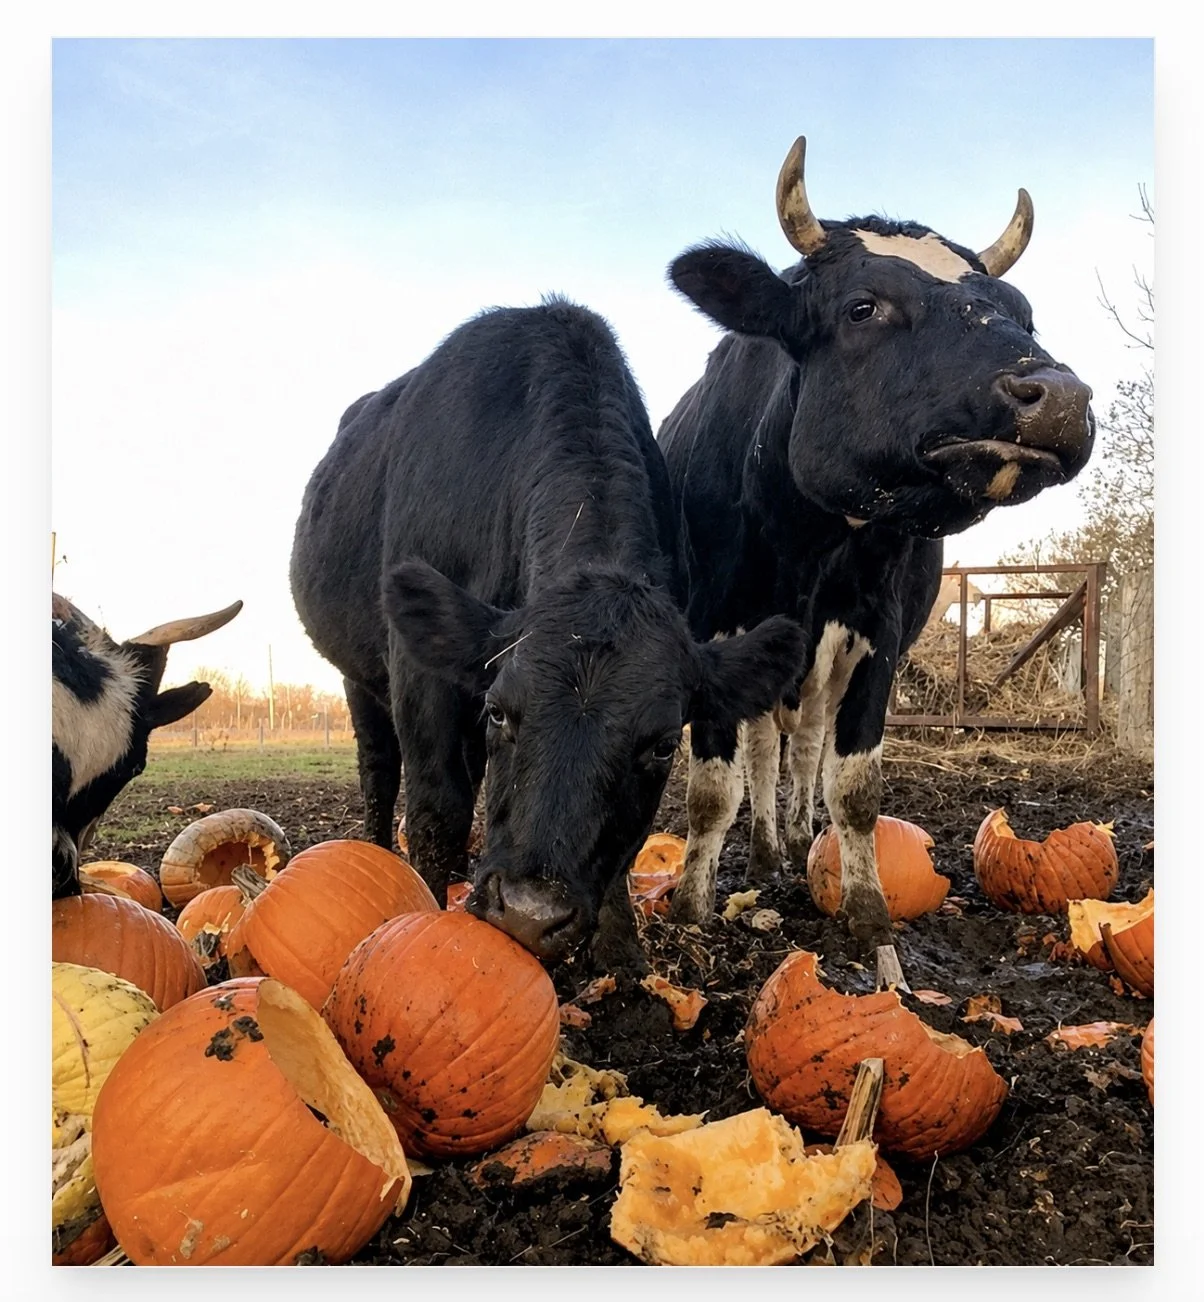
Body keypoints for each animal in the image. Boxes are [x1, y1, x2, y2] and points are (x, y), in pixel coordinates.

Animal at [290, 298, 805, 968]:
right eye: (501, 711)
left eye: (665, 744)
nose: (531, 912)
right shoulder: (420, 672)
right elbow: (436, 810)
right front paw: (426, 910)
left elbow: (622, 851)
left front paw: (622, 951)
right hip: (359, 676)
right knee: (379, 769)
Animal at [659, 137, 1096, 989]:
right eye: (864, 307)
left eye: (1023, 311)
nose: (1060, 398)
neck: (805, 544)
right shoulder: (714, 631)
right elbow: (712, 788)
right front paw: (692, 912)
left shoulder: (875, 633)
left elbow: (853, 786)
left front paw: (873, 926)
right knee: (764, 748)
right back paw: (766, 849)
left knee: (801, 747)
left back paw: (795, 840)